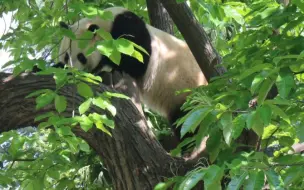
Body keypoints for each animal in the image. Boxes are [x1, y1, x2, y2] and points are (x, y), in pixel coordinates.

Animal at [58, 6, 208, 142]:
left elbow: (136, 60)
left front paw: (102, 69)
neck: (107, 24)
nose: (72, 71)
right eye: (66, 56)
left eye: (81, 57)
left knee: (187, 119)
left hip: (187, 91)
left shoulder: (129, 31)